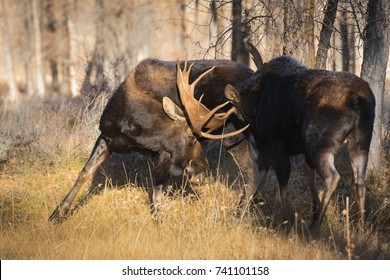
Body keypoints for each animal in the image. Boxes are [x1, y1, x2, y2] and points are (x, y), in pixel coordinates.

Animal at [48, 57, 254, 223]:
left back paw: (238, 218)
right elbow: (84, 173)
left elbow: (156, 194)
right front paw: (56, 215)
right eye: (191, 139)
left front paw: (160, 225)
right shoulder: (106, 136)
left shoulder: (162, 155)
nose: (203, 170)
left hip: (236, 136)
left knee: (251, 173)